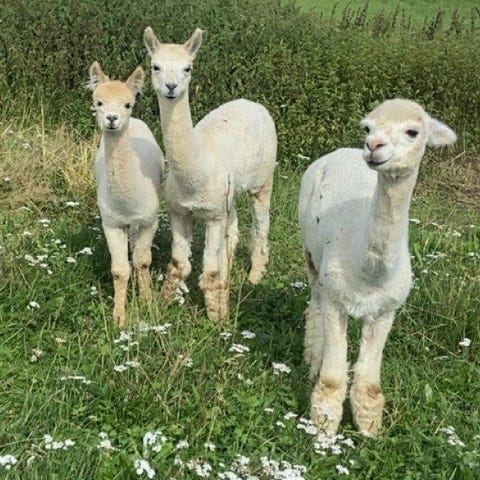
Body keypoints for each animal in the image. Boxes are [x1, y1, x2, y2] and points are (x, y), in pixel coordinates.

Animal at [88, 61, 164, 325]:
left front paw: (148, 302)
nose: (112, 118)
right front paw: (119, 316)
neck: (128, 201)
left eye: (127, 104)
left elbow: (143, 262)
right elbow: (120, 270)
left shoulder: (150, 219)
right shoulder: (111, 222)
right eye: (98, 102)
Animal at [143, 27, 277, 321]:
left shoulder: (213, 215)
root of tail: (252, 103)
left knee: (261, 223)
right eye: (155, 66)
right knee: (233, 227)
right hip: (229, 192)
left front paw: (217, 316)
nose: (171, 87)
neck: (197, 175)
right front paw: (163, 303)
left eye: (188, 67)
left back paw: (255, 274)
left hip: (263, 179)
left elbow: (211, 272)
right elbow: (178, 265)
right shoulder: (179, 210)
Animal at [298, 99, 456, 435]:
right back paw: (313, 359)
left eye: (413, 131)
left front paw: (370, 428)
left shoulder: (386, 309)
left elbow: (370, 383)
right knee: (314, 301)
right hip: (311, 252)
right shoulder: (336, 299)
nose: (373, 146)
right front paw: (324, 424)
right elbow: (333, 376)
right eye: (367, 127)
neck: (369, 270)